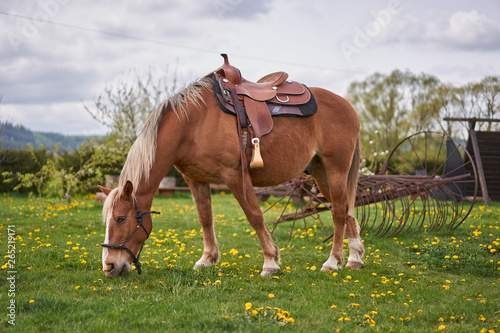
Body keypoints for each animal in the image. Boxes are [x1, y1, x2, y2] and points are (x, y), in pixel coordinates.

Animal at [97, 60, 364, 278]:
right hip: (321, 173)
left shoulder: (235, 176)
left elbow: (254, 216)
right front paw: (207, 259)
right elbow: (205, 218)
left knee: (338, 211)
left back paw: (332, 261)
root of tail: (348, 106)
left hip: (336, 168)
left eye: (121, 218)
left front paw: (270, 262)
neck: (191, 124)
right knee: (346, 209)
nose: (109, 266)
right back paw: (354, 258)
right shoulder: (195, 179)